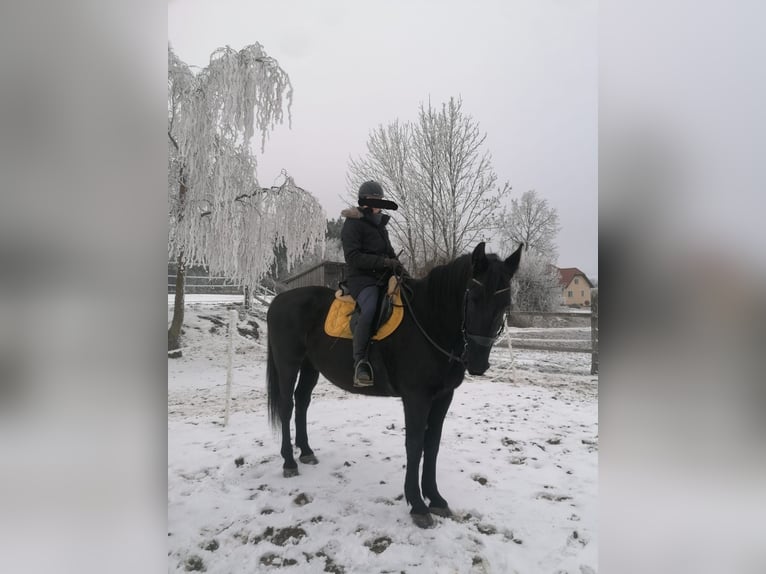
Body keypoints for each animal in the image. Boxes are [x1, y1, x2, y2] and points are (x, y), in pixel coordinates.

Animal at [268, 241, 524, 528]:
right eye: (473, 297)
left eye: (505, 303)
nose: (478, 362)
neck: (430, 322)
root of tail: (278, 300)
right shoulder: (416, 398)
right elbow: (414, 445)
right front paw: (417, 505)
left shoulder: (443, 397)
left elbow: (432, 445)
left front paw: (435, 498)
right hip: (288, 364)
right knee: (287, 406)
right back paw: (289, 462)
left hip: (310, 366)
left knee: (302, 402)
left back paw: (306, 451)